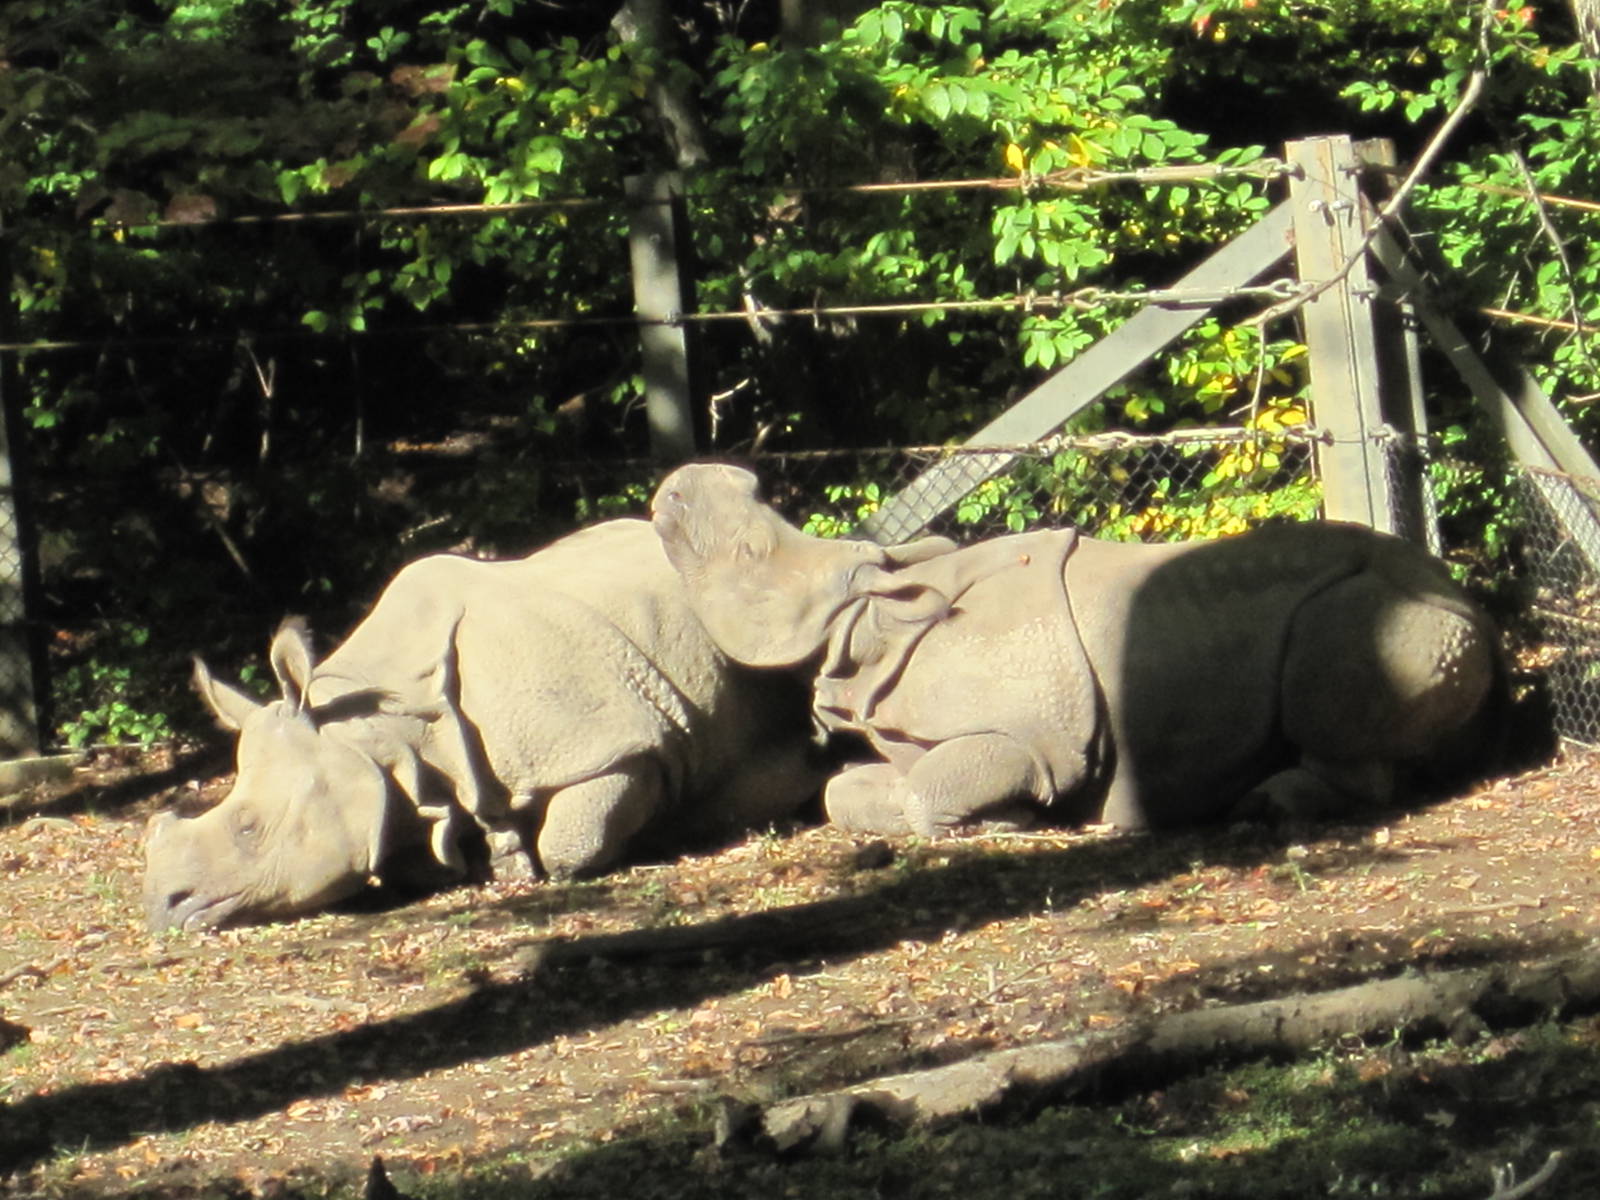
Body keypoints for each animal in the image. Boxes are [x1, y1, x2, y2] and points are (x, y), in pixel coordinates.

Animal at [143, 518, 827, 931]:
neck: (377, 732)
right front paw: (499, 856)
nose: (163, 910)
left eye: (249, 827)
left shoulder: (616, 745)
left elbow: (575, 838)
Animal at [650, 463, 1502, 836]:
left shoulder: (1036, 736)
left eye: (752, 553)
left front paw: (1005, 825)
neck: (873, 624)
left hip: (1391, 607)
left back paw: (1265, 808)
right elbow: (846, 792)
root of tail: (1476, 606)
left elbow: (944, 785)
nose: (679, 485)